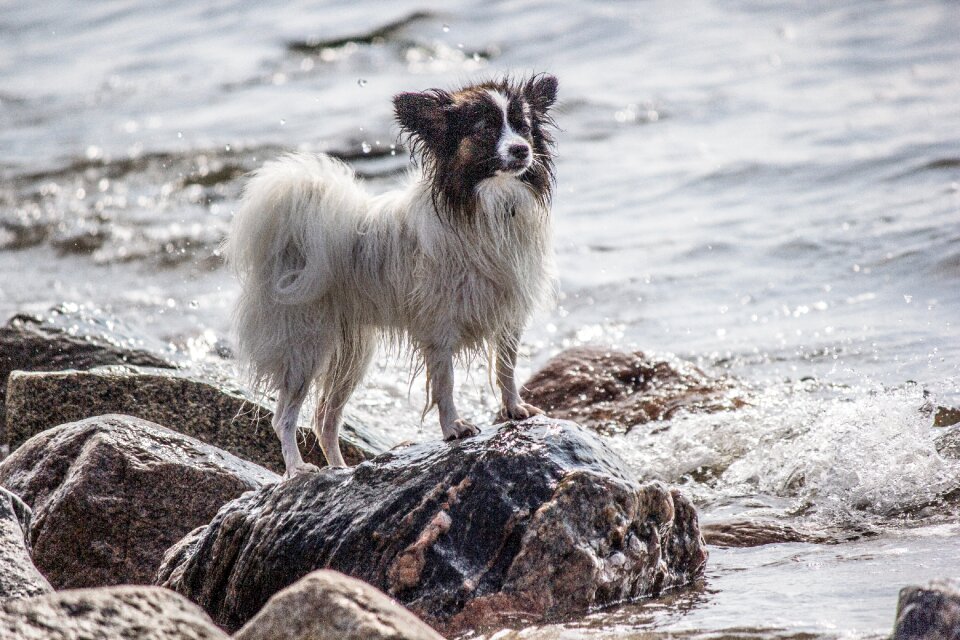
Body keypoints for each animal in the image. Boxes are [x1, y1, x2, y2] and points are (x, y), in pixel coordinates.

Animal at [224, 74, 560, 476]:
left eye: (523, 127)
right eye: (485, 129)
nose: (522, 150)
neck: (486, 206)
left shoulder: (508, 317)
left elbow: (506, 368)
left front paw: (514, 409)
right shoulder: (439, 329)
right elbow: (445, 385)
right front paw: (454, 428)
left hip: (351, 356)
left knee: (325, 420)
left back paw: (341, 470)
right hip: (305, 349)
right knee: (285, 418)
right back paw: (297, 469)